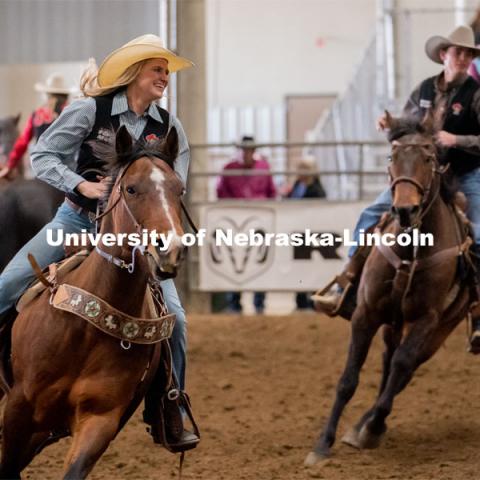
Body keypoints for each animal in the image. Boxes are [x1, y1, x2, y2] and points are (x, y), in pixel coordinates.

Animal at [0, 125, 186, 478]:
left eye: (179, 189)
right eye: (131, 188)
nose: (170, 250)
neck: (86, 329)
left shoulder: (100, 419)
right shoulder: (18, 407)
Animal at [306, 112, 474, 464]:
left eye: (428, 158)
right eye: (392, 157)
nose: (405, 210)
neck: (411, 248)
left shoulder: (427, 319)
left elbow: (402, 366)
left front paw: (373, 428)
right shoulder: (367, 314)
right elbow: (348, 379)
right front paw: (322, 444)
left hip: (441, 327)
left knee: (404, 367)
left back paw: (370, 425)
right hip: (392, 322)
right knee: (388, 360)